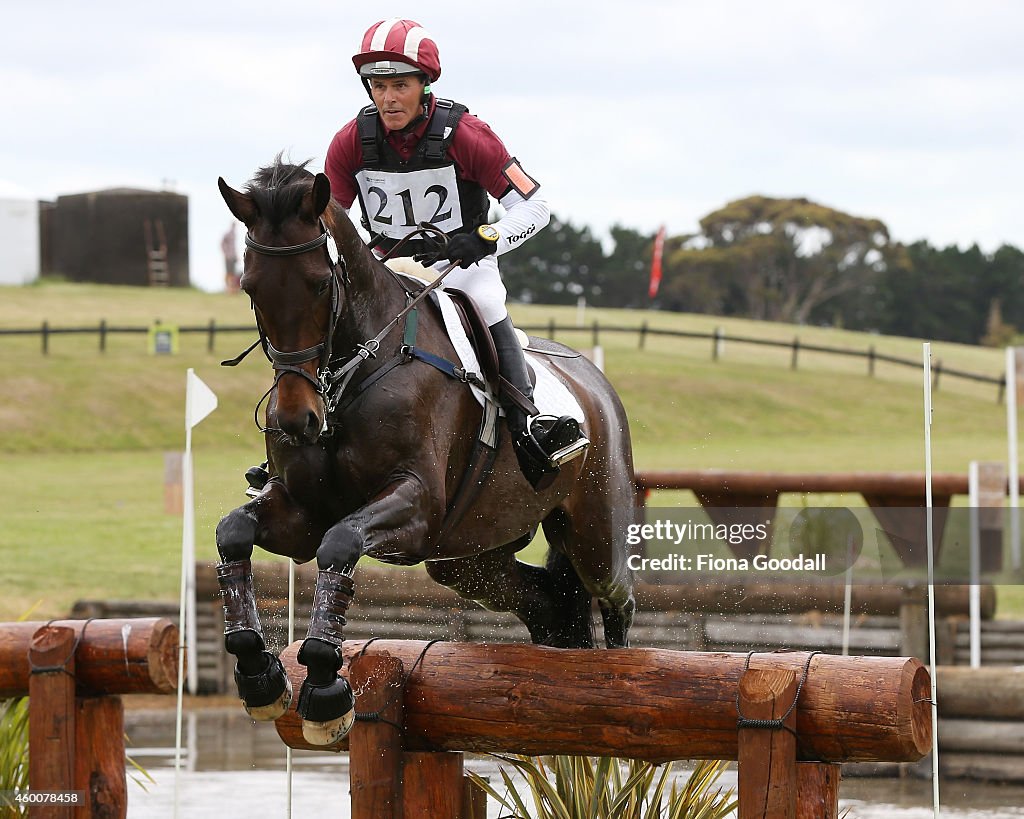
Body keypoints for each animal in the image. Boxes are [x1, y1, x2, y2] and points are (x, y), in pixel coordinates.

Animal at [214, 156, 630, 745]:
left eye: (320, 285)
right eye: (251, 288)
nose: (297, 422)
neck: (352, 374)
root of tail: (595, 383)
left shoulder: (414, 506)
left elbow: (341, 545)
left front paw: (326, 690)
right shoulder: (301, 512)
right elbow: (233, 532)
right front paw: (259, 676)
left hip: (595, 536)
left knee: (616, 599)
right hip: (470, 558)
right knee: (550, 602)